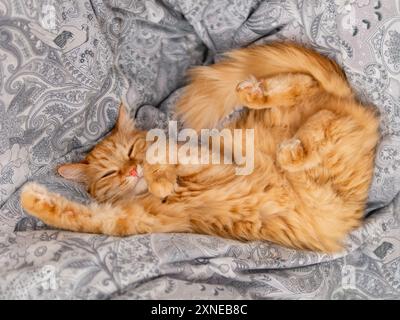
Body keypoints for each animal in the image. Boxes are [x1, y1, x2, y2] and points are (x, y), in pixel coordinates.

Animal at [20, 42, 380, 252]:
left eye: (132, 152)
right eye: (110, 173)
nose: (132, 171)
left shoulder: (210, 161)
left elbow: (163, 153)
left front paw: (159, 177)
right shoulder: (128, 221)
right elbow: (75, 216)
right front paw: (31, 198)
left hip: (306, 140)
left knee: (309, 95)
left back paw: (261, 105)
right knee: (309, 93)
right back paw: (256, 95)